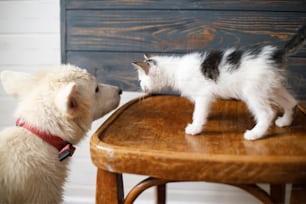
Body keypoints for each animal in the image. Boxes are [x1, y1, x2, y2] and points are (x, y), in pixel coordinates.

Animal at [133, 24, 304, 140]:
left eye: (141, 79)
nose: (141, 85)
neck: (176, 69)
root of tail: (277, 53)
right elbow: (203, 111)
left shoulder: (203, 95)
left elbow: (198, 113)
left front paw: (195, 128)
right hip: (272, 86)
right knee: (291, 102)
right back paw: (285, 121)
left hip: (254, 90)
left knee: (268, 113)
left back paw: (255, 134)